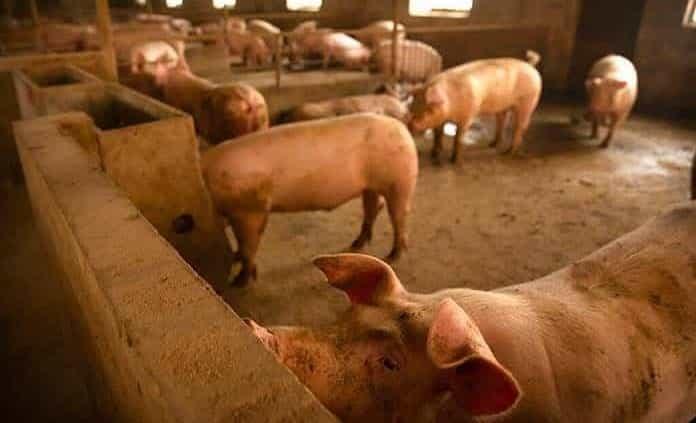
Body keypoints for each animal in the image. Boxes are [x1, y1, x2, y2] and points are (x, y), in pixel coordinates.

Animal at [201, 113, 418, 285]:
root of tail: (401, 128)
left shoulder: (249, 209)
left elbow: (249, 246)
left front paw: (239, 282)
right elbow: (244, 246)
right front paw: (236, 261)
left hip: (399, 180)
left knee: (398, 215)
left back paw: (392, 257)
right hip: (370, 186)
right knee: (373, 208)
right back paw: (356, 245)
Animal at [410, 51, 542, 161]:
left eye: (427, 111)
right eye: (411, 109)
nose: (410, 127)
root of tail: (530, 65)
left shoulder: (468, 115)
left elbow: (458, 138)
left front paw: (455, 161)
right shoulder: (441, 119)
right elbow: (438, 135)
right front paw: (434, 154)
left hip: (528, 101)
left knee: (519, 127)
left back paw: (507, 153)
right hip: (503, 106)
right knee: (501, 121)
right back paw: (492, 144)